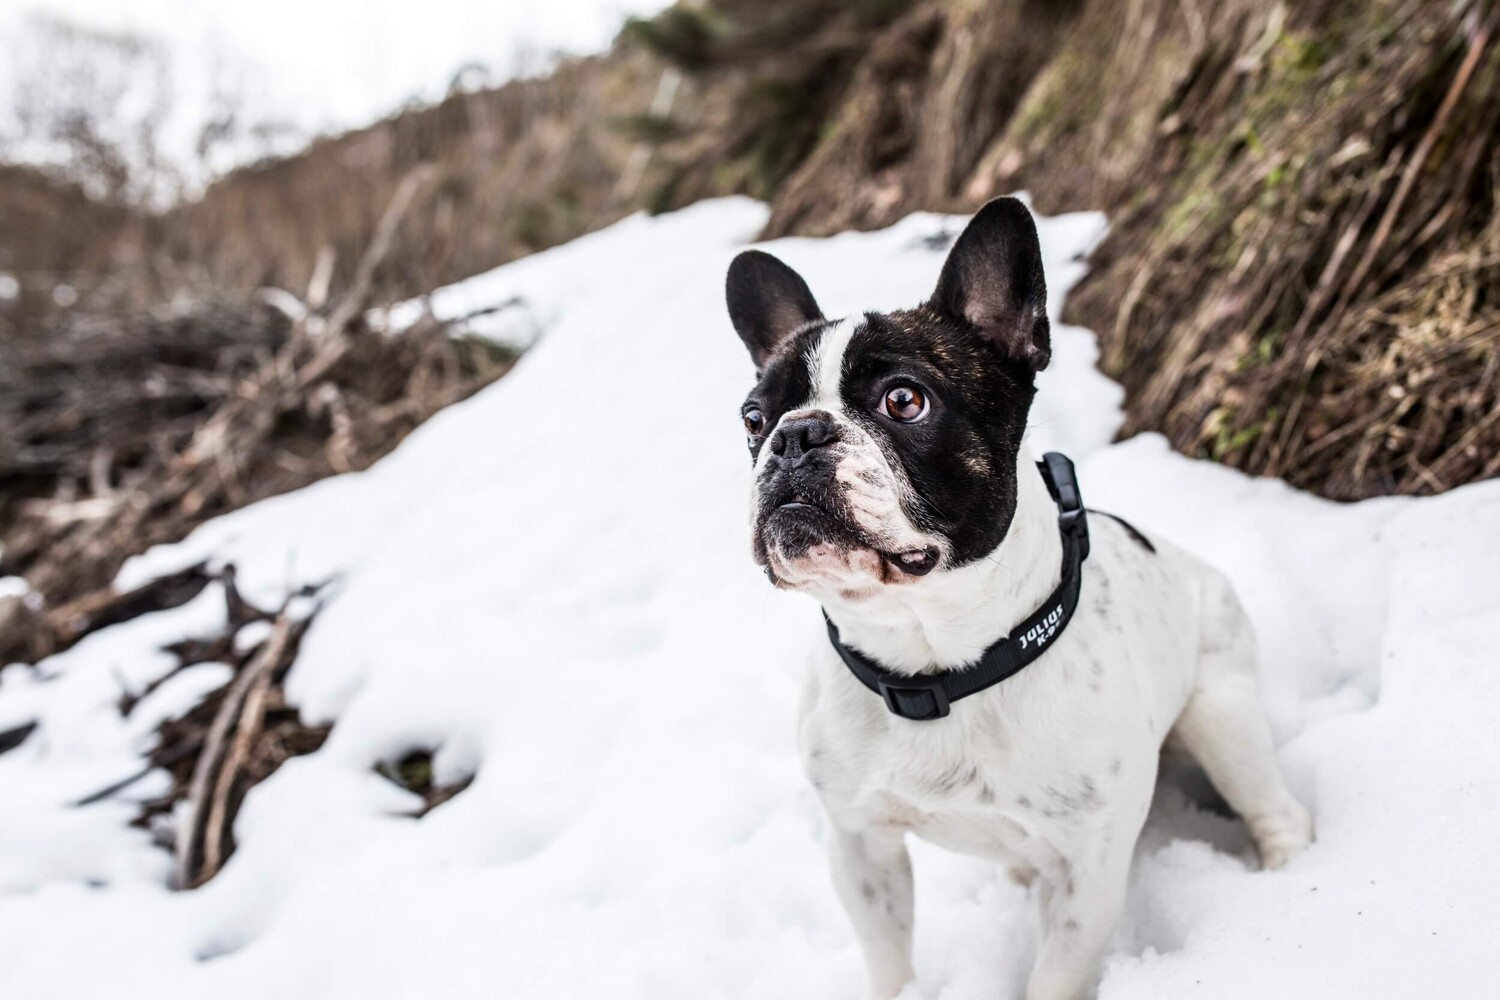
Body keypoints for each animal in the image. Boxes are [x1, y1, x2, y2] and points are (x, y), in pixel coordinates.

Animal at [724, 197, 1313, 1000]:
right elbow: (890, 959)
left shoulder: (1086, 875)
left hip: (1222, 711)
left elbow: (1055, 979)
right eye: (753, 419)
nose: (795, 435)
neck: (936, 663)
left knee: (1269, 801)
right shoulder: (861, 846)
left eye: (903, 400)